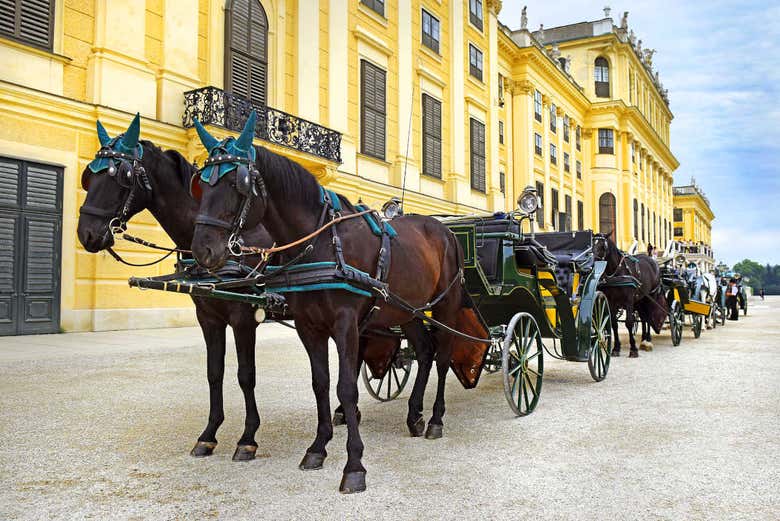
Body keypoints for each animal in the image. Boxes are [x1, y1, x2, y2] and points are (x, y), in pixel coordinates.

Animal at [77, 114, 270, 460]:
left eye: (122, 177)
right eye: (89, 175)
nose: (86, 232)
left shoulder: (244, 318)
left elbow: (246, 375)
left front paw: (248, 437)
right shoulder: (208, 317)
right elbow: (214, 373)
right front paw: (209, 434)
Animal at [189, 112, 476, 492]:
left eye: (238, 184)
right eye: (201, 185)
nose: (202, 250)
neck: (323, 241)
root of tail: (444, 229)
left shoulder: (344, 324)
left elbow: (346, 387)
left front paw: (354, 464)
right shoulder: (309, 327)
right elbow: (321, 383)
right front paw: (318, 446)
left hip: (444, 306)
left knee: (442, 358)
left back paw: (435, 419)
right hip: (408, 311)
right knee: (425, 352)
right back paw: (414, 413)